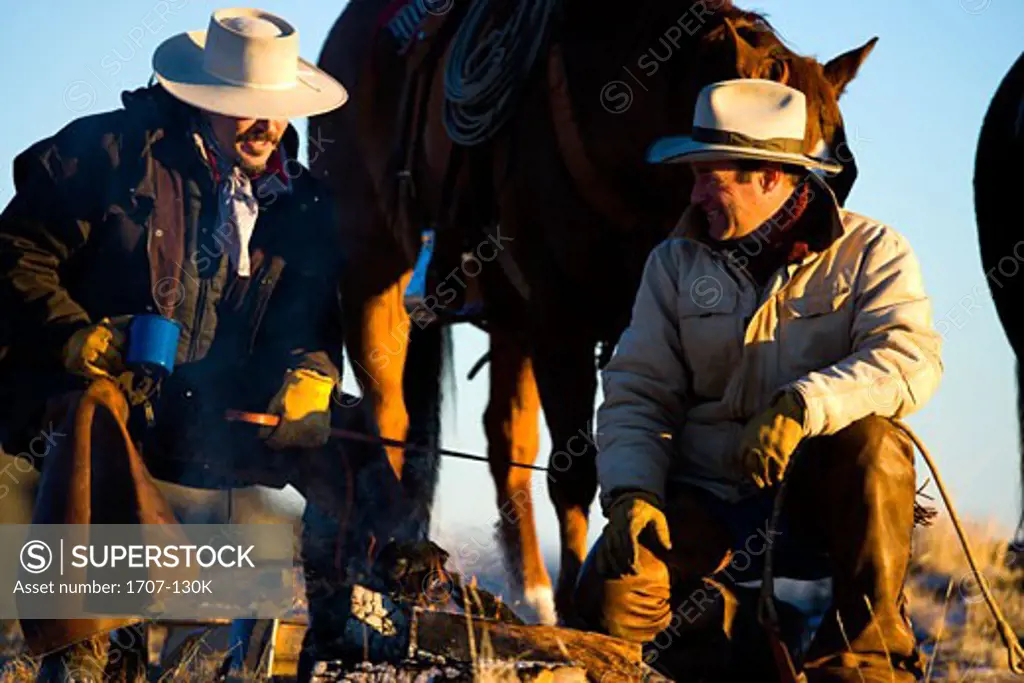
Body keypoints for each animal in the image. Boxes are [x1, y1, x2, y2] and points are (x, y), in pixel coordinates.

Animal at [309, 0, 872, 626]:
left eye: (842, 171)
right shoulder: (562, 323)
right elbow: (575, 470)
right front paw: (578, 604)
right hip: (372, 274)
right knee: (390, 416)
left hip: (509, 321)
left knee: (505, 442)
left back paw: (529, 599)